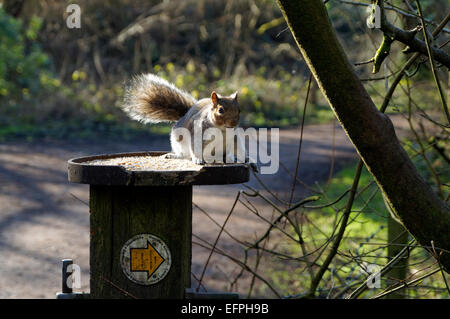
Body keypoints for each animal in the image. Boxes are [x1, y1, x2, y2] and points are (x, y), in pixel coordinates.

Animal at [121, 74, 256, 169]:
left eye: (239, 110)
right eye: (220, 110)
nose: (233, 124)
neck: (222, 129)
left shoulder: (234, 137)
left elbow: (240, 148)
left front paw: (248, 159)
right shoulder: (198, 131)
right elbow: (196, 147)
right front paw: (197, 159)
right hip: (180, 144)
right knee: (184, 155)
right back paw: (173, 155)